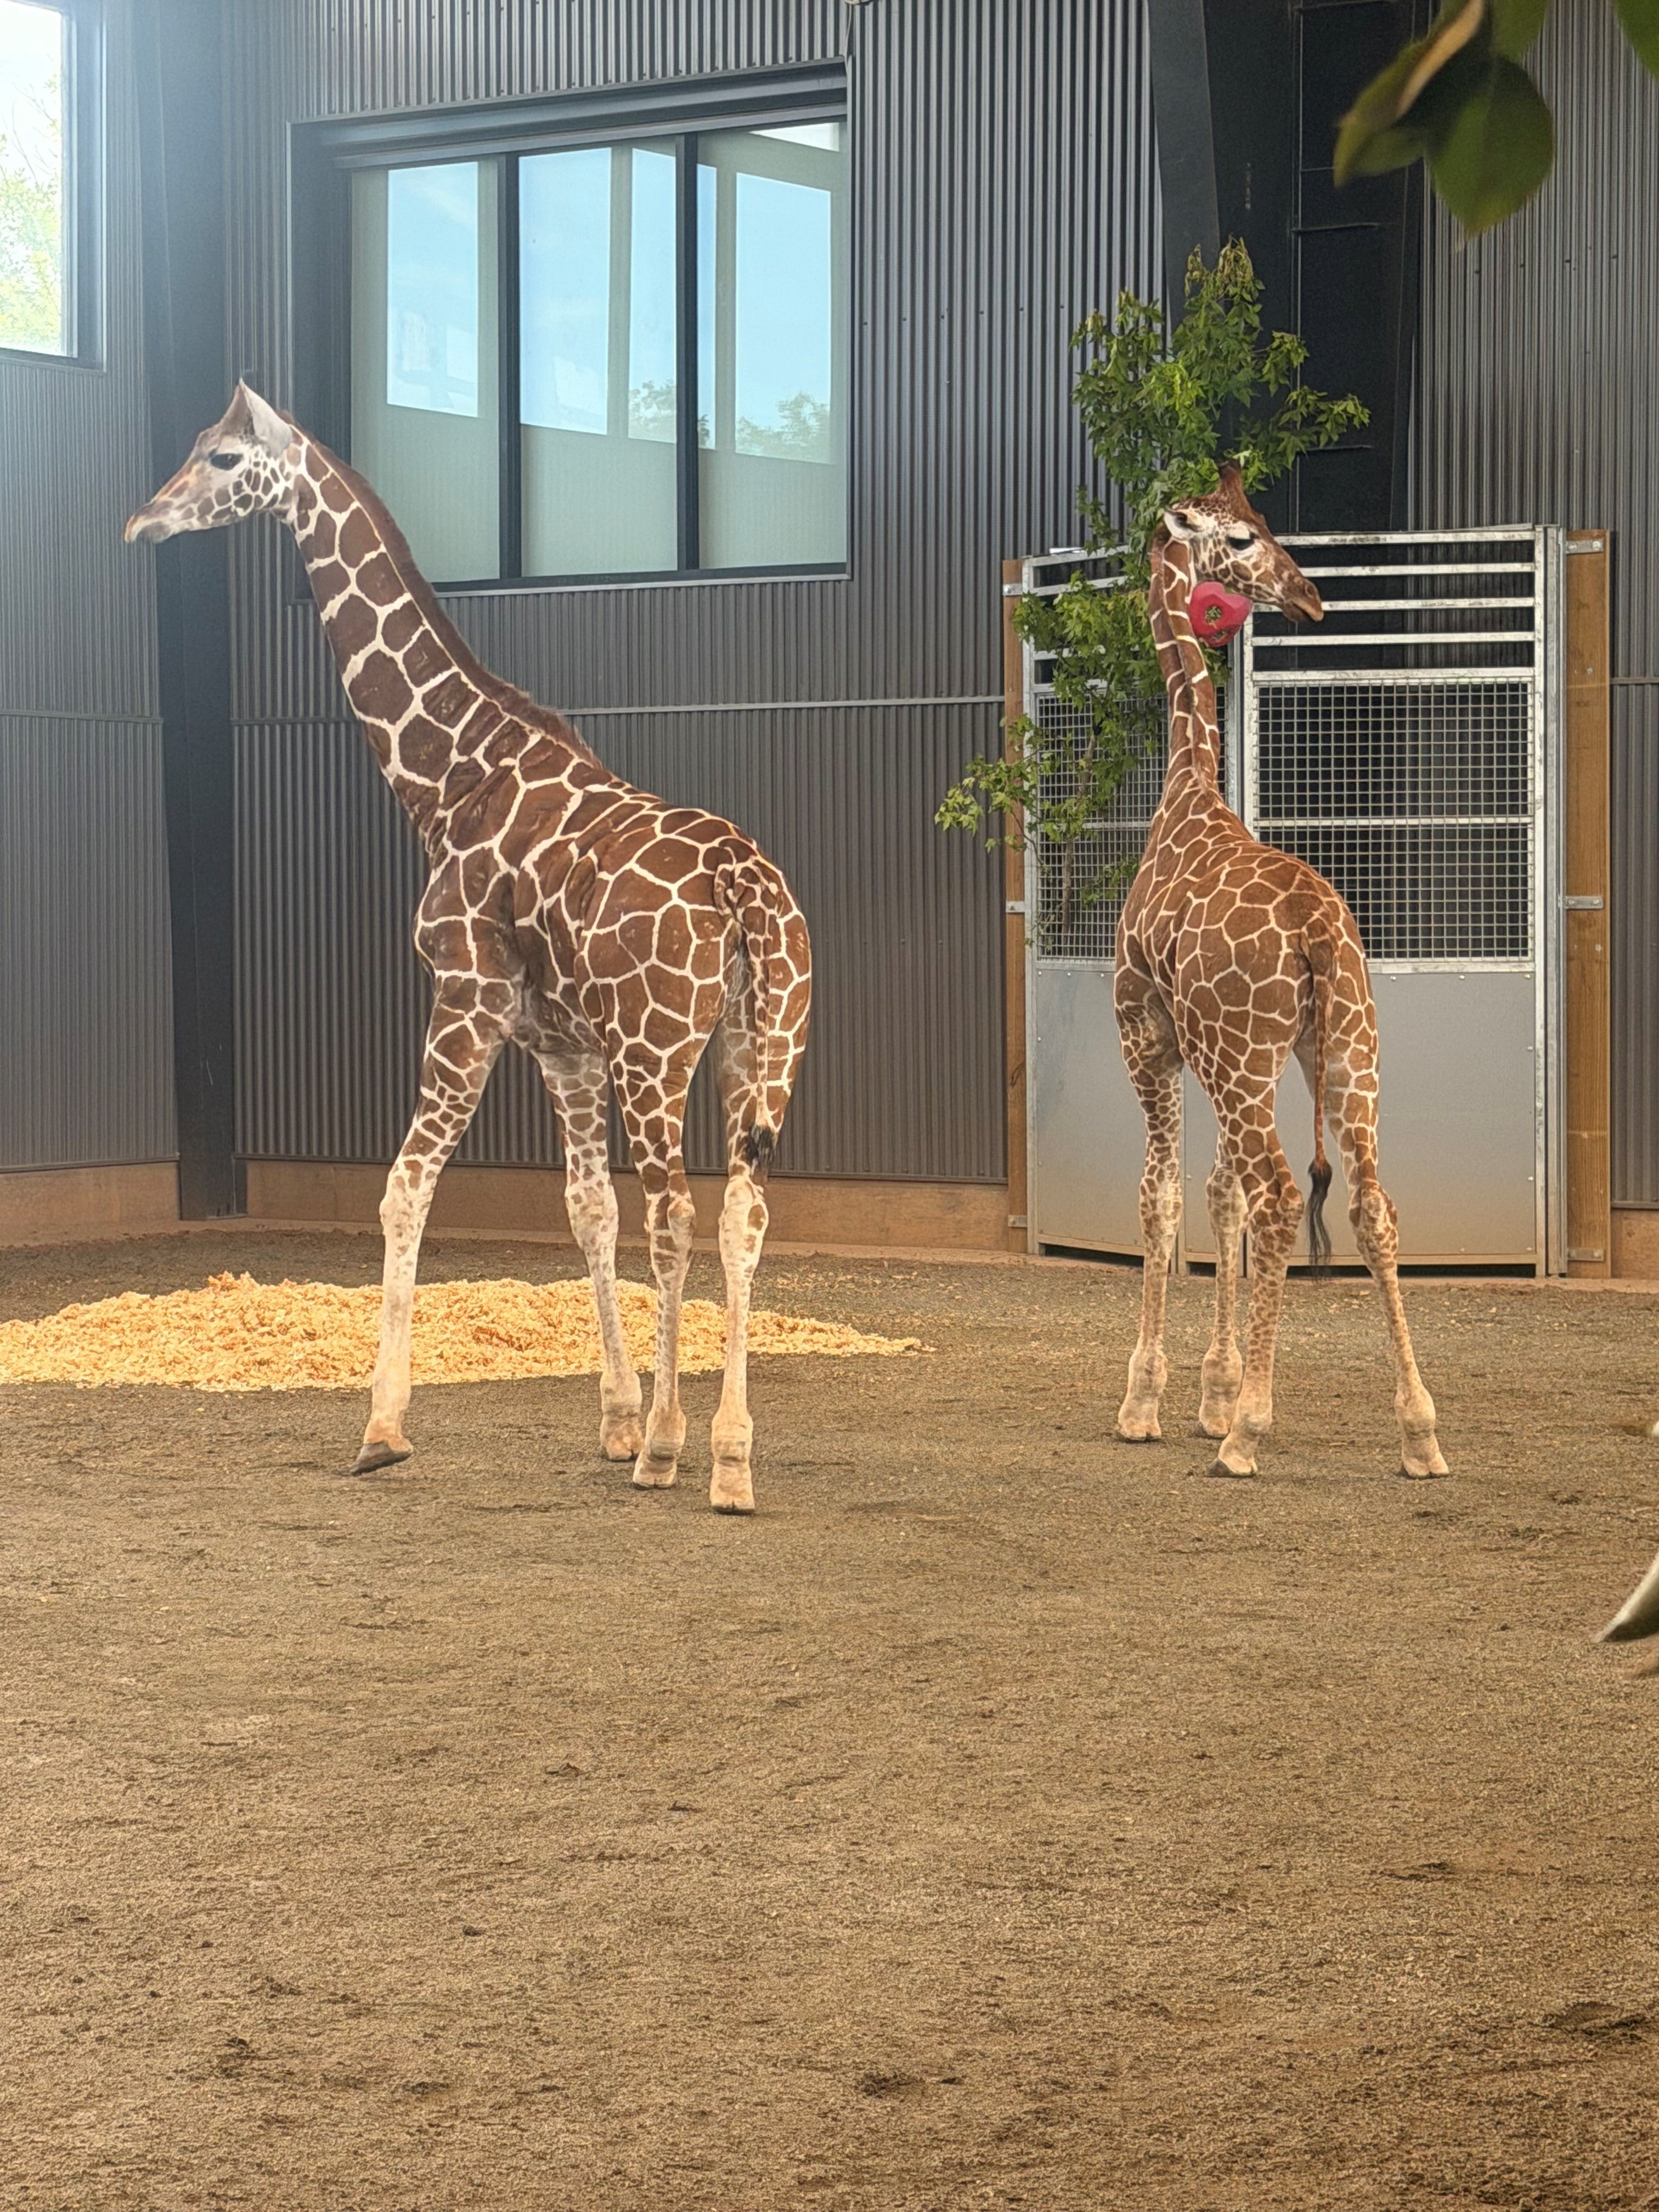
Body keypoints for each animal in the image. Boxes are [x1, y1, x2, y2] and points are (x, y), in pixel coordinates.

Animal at [125, 383, 812, 1514]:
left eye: (222, 458)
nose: (144, 522)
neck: (449, 777)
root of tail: (742, 886)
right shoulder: (560, 1043)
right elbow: (585, 1210)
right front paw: (614, 1419)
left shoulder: (467, 995)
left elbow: (406, 1187)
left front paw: (382, 1427)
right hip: (760, 1046)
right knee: (740, 1212)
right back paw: (729, 1455)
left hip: (658, 1050)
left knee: (678, 1208)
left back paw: (677, 1447)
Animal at [1113, 462, 1447, 1483]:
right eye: (1242, 536)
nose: (1308, 595)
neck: (1186, 792)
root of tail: (1313, 933)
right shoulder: (1215, 1054)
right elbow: (1212, 1194)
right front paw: (1212, 1388)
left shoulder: (1147, 1034)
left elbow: (1163, 1197)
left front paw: (1151, 1401)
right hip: (1342, 1048)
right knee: (1371, 1202)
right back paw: (1419, 1431)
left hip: (1244, 1053)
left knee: (1278, 1195)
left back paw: (1248, 1435)